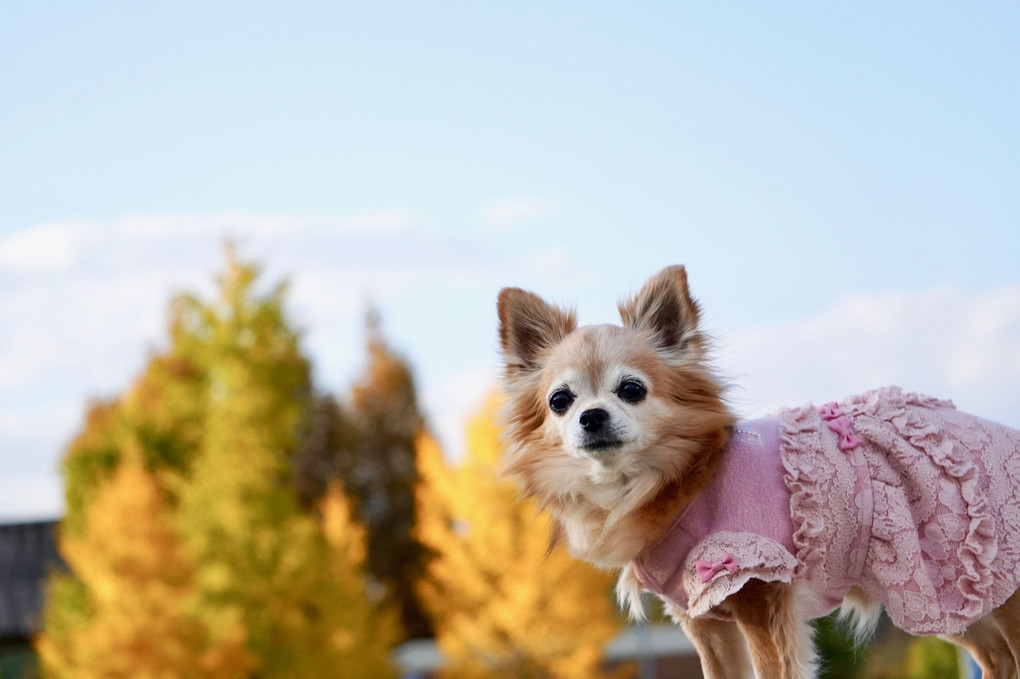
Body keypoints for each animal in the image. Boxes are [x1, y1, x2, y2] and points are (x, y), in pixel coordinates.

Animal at [497, 265, 1020, 676]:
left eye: (631, 390)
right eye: (560, 401)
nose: (591, 416)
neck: (680, 479)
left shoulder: (758, 593)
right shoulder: (704, 620)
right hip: (955, 597)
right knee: (999, 658)